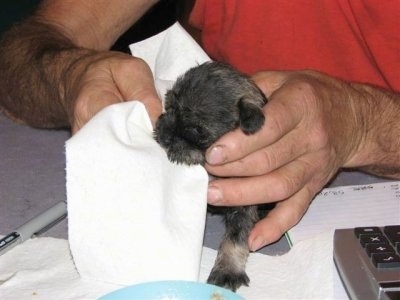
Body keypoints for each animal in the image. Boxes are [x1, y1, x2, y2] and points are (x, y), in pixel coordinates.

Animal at [155, 61, 268, 290]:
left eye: (198, 130)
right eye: (170, 107)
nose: (166, 134)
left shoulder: (243, 205)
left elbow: (234, 239)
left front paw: (227, 269)